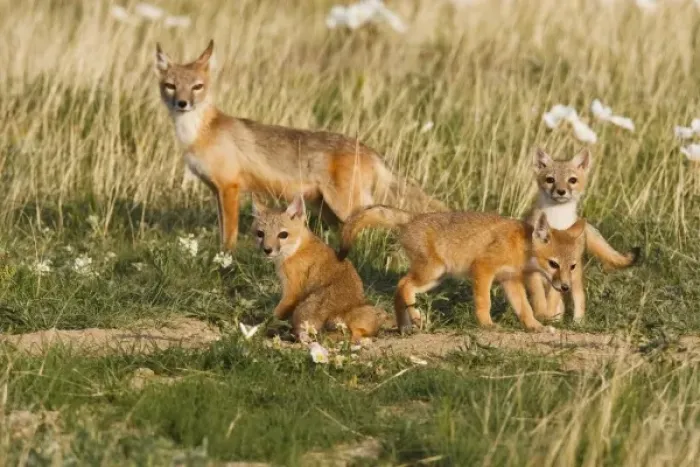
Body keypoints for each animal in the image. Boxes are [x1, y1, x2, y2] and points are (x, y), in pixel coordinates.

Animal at [155, 40, 446, 251]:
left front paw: (225, 258)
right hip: (329, 211)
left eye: (197, 87)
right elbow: (223, 230)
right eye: (171, 86)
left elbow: (230, 235)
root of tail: (368, 149)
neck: (198, 132)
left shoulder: (229, 188)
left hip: (345, 207)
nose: (182, 104)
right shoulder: (218, 191)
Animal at [252, 194, 391, 343]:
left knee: (304, 337)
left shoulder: (292, 292)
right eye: (260, 234)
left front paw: (260, 327)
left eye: (283, 234)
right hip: (373, 310)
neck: (297, 249)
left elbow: (274, 315)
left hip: (301, 310)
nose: (267, 250)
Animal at [339, 206, 586, 334]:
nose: (565, 287)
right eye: (553, 264)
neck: (520, 246)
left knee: (400, 288)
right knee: (403, 285)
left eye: (572, 266)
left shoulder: (510, 280)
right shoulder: (483, 269)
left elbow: (524, 308)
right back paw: (416, 318)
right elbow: (484, 302)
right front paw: (487, 324)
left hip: (434, 278)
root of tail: (413, 218)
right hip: (433, 272)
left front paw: (535, 326)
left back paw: (405, 325)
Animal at [524, 148, 640, 321]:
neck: (558, 221)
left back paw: (577, 321)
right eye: (550, 179)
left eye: (572, 180)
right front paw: (545, 315)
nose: (561, 191)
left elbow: (557, 296)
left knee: (578, 296)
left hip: (575, 275)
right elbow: (540, 295)